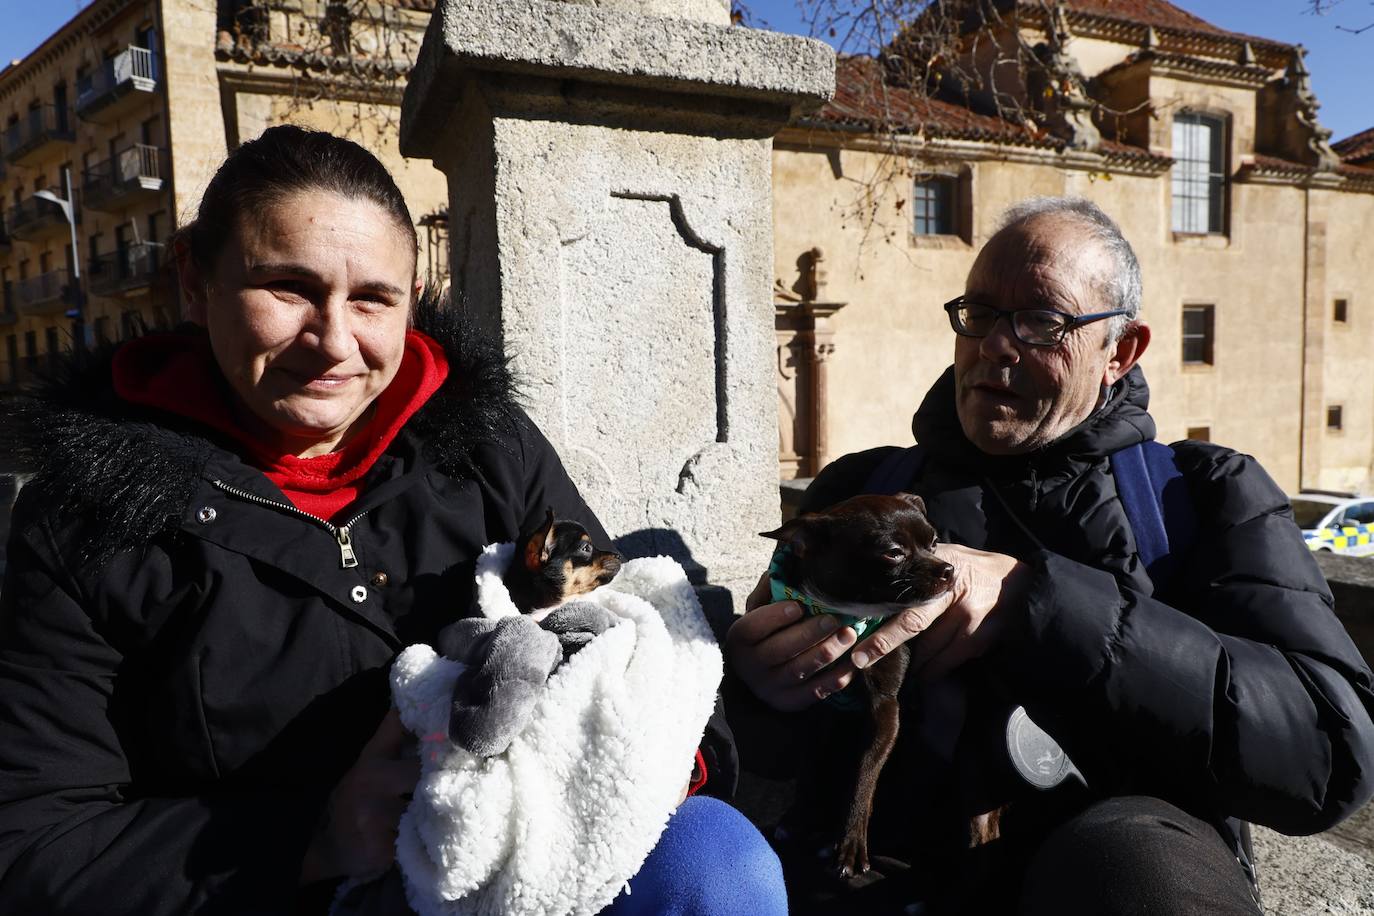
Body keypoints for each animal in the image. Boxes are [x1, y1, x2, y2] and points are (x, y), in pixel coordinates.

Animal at [763, 494, 956, 878]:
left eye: (933, 543)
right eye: (893, 552)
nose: (948, 569)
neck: (848, 614)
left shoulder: (885, 709)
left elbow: (864, 773)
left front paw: (851, 844)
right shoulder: (815, 706)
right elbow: (810, 766)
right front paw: (800, 816)